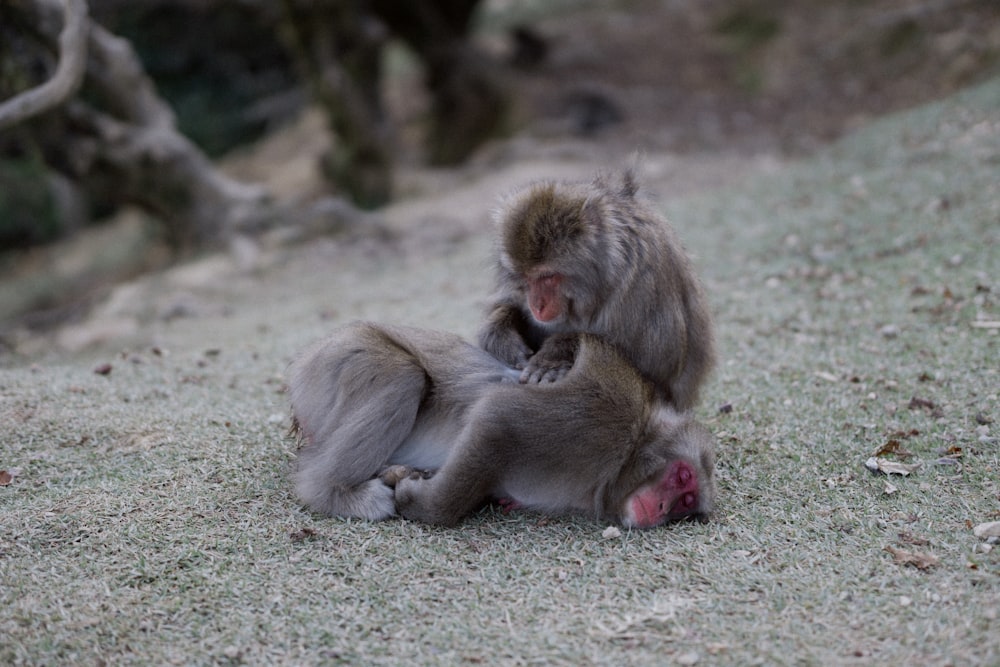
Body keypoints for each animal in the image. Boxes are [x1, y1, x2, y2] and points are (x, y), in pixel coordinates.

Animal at [286, 320, 716, 528]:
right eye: (682, 478)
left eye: (686, 505)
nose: (661, 508)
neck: (631, 450)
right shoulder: (602, 418)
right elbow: (498, 420)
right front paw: (417, 500)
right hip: (344, 355)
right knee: (402, 377)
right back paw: (336, 493)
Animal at [480, 171, 716, 412]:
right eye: (526, 278)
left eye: (548, 277)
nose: (537, 306)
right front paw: (500, 336)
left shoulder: (642, 278)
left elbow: (657, 360)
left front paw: (555, 354)